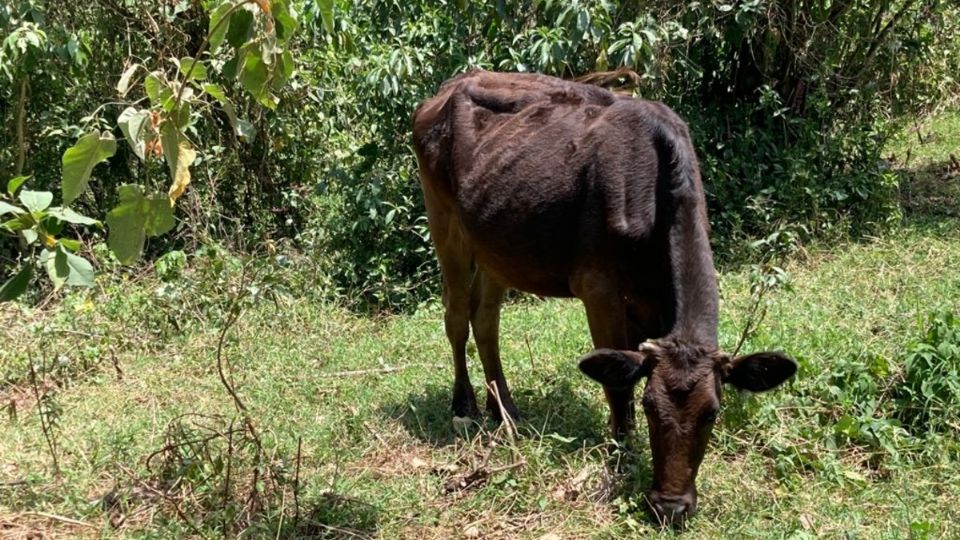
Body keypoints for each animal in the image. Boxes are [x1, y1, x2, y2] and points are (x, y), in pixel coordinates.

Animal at [412, 70, 796, 524]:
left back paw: (505, 409)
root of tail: (450, 85)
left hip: (497, 246)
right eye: (650, 407)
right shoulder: (599, 290)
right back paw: (464, 404)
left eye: (712, 412)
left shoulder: (650, 304)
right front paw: (622, 456)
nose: (670, 506)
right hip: (443, 220)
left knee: (485, 318)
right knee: (456, 314)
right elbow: (618, 385)